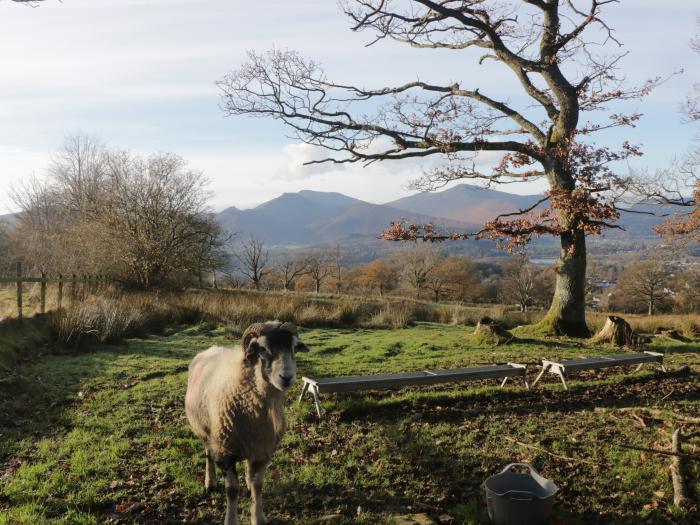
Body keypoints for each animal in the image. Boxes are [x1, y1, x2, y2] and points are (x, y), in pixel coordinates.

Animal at [183, 318, 308, 520]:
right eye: (262, 348)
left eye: (294, 347)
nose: (287, 377)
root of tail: (210, 348)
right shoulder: (225, 451)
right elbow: (232, 490)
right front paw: (230, 519)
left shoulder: (263, 451)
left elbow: (258, 486)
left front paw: (258, 517)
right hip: (206, 431)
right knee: (208, 454)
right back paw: (210, 482)